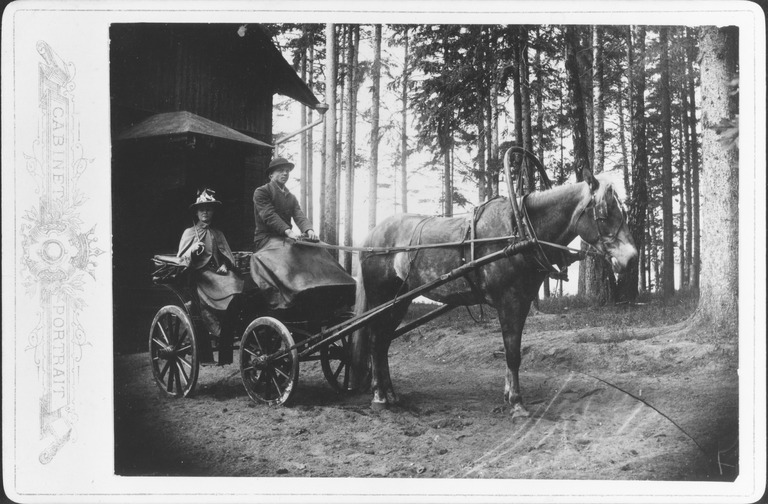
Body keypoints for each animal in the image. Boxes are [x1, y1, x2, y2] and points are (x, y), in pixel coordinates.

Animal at [352, 167, 636, 416]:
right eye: (604, 214)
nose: (632, 258)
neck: (519, 232)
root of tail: (371, 238)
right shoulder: (509, 302)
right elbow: (512, 352)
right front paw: (517, 403)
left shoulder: (522, 302)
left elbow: (514, 349)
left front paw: (509, 394)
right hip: (380, 297)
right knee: (376, 341)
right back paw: (379, 396)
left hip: (399, 302)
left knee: (384, 343)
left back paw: (391, 394)